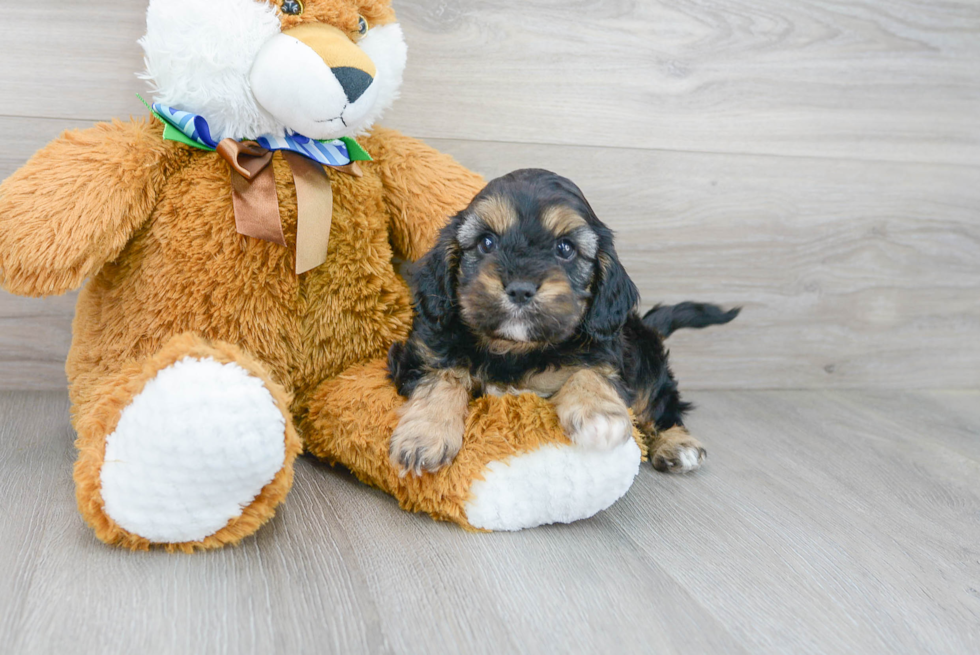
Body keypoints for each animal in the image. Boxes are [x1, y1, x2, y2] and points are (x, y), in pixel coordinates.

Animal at [386, 169, 740, 476]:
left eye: (565, 248)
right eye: (487, 242)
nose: (520, 288)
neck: (514, 349)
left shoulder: (602, 354)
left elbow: (588, 372)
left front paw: (599, 414)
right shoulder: (424, 352)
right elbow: (442, 378)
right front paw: (424, 436)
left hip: (646, 362)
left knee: (661, 404)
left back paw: (676, 443)